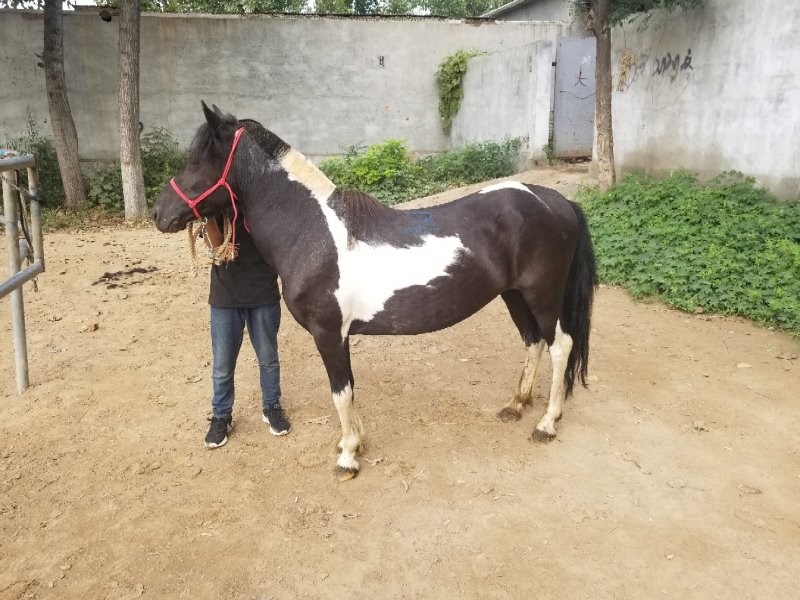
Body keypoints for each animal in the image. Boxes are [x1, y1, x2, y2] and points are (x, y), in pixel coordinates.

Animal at [154, 102, 597, 481]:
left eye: (197, 161)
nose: (160, 214)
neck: (311, 234)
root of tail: (557, 201)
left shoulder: (328, 333)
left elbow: (340, 392)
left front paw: (348, 457)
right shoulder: (340, 335)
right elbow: (349, 389)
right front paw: (354, 443)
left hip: (542, 295)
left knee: (560, 345)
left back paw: (546, 423)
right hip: (514, 295)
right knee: (533, 341)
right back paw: (516, 404)